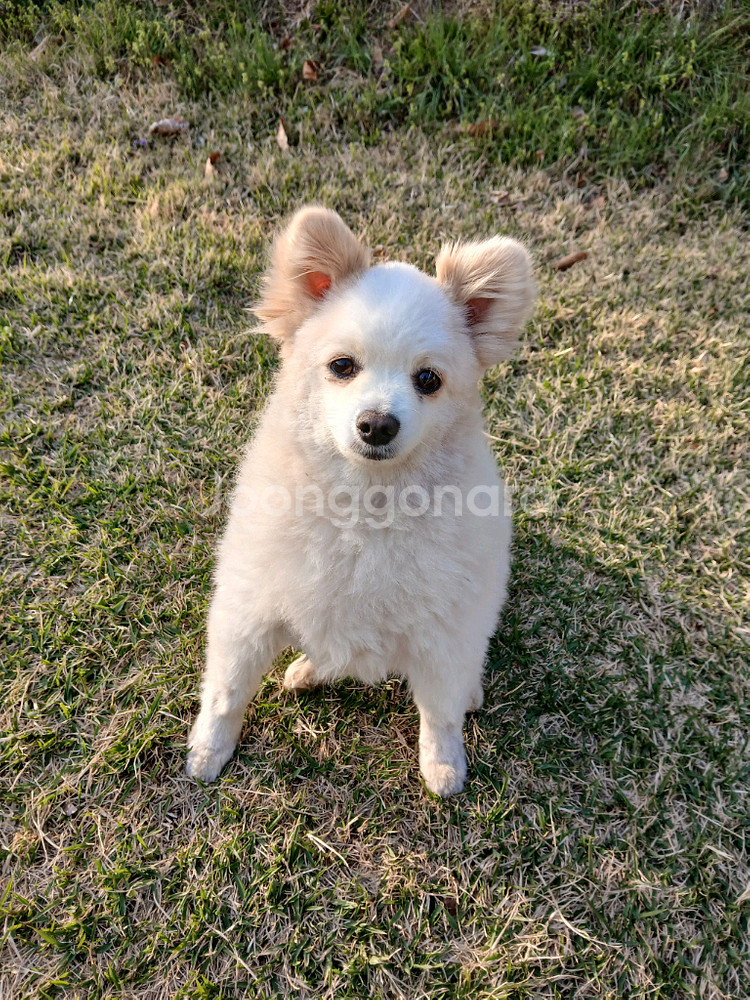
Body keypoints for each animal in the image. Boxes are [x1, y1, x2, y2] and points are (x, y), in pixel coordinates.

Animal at [186, 206, 535, 797]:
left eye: (428, 379)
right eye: (343, 366)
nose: (376, 423)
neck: (365, 506)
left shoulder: (444, 634)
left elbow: (438, 714)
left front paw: (444, 766)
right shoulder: (249, 609)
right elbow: (227, 690)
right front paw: (209, 750)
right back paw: (306, 671)